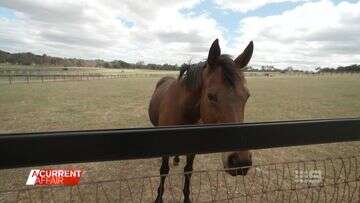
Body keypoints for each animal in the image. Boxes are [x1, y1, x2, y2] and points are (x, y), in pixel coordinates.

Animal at [149, 38, 253, 202]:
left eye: (247, 96)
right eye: (210, 96)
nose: (240, 161)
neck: (183, 111)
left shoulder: (192, 150)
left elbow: (188, 171)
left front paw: (186, 198)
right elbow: (164, 170)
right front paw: (159, 198)